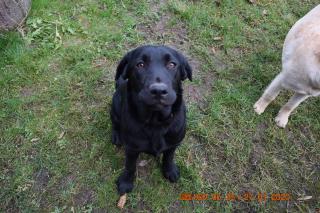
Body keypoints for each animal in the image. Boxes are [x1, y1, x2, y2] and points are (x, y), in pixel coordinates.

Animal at [111, 45, 191, 195]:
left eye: (172, 64)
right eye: (140, 65)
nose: (158, 91)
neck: (156, 122)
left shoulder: (174, 144)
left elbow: (169, 157)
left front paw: (169, 170)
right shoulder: (131, 149)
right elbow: (130, 166)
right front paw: (126, 182)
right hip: (116, 105)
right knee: (114, 121)